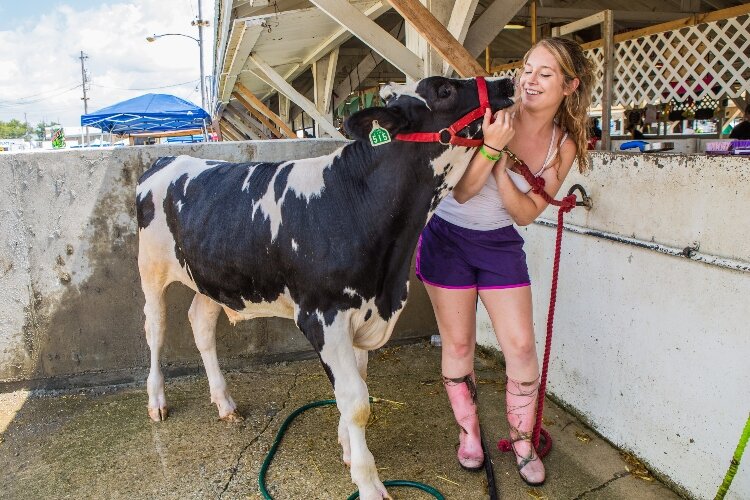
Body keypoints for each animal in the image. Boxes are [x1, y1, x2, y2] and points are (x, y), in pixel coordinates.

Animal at [135, 75, 516, 500]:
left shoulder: (363, 314)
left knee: (200, 325)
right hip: (151, 270)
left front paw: (348, 449)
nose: (506, 81)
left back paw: (225, 404)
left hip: (209, 278)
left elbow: (356, 387)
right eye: (444, 91)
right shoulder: (322, 316)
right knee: (155, 329)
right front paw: (369, 483)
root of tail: (168, 159)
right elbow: (356, 401)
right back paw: (157, 401)